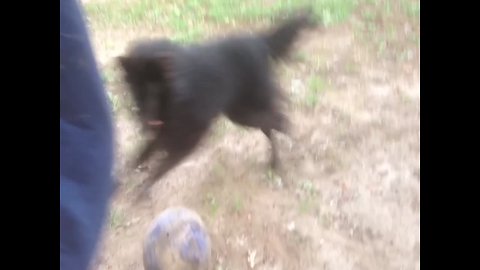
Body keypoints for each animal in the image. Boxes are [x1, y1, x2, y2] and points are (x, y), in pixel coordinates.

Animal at [118, 11, 316, 195]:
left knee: (279, 120)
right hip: (240, 111)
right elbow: (142, 154)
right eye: (136, 87)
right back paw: (276, 159)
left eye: (155, 89)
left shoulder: (188, 138)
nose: (145, 120)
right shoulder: (165, 132)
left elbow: (160, 167)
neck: (176, 91)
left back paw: (285, 149)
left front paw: (141, 190)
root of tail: (259, 41)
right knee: (272, 124)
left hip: (245, 113)